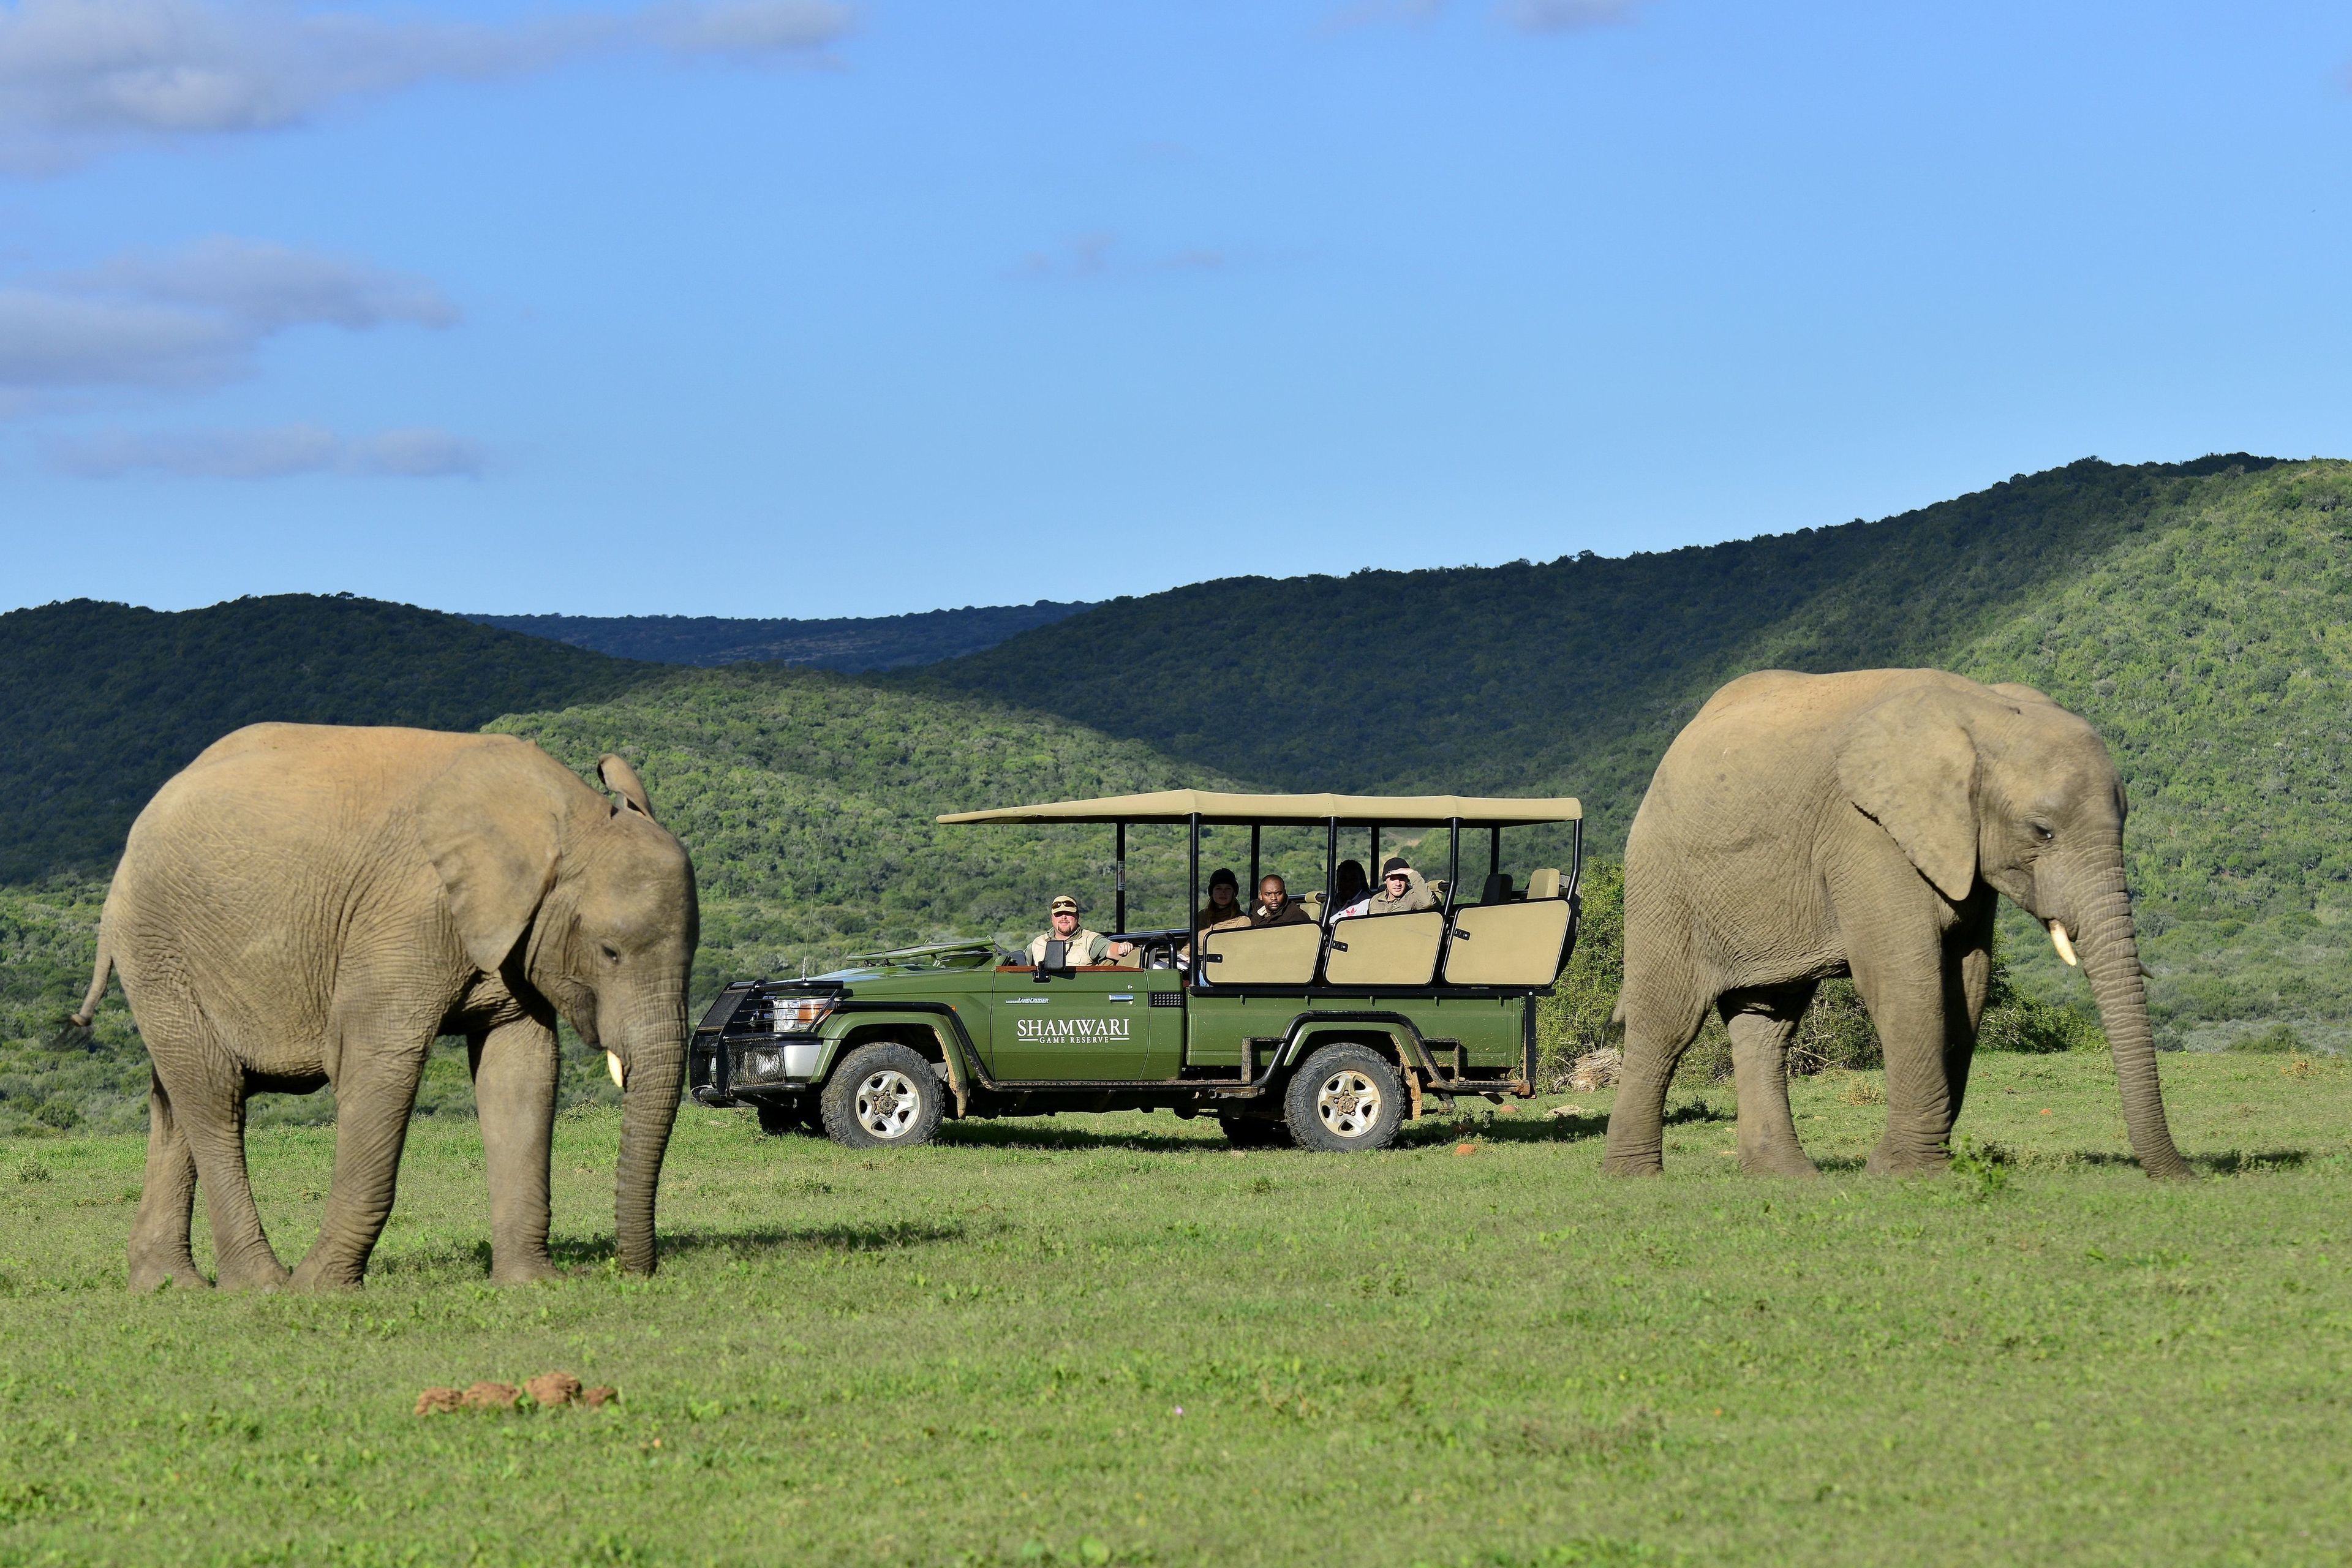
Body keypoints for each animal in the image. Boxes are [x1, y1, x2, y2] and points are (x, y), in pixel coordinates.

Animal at [71, 723, 700, 1290]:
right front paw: (319, 1289)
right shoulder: (406, 915)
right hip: (157, 944)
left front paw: (531, 1285)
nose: (628, 1272)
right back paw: (261, 1286)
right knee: (214, 1095)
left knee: (173, 1103)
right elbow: (377, 1063)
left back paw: (169, 1285)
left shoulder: (513, 934)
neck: (567, 818)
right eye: (610, 952)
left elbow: (522, 1074)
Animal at [1601, 668, 2190, 1181]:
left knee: (1768, 1022)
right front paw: (1906, 1173)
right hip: (1664, 877)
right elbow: (1905, 975)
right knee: (1667, 1023)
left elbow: (1968, 981)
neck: (1982, 713)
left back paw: (1785, 1178)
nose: (2183, 1175)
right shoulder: (1866, 833)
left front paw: (1906, 1166)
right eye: (2042, 831)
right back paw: (1635, 1178)